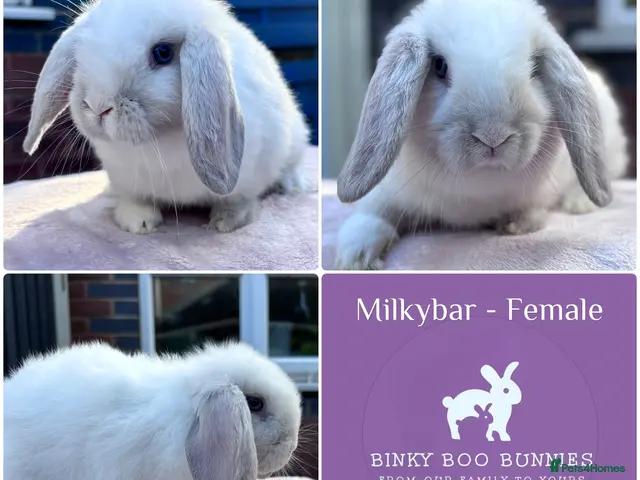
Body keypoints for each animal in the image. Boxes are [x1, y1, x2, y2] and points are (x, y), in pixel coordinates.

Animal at [22, 0, 310, 235]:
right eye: (82, 53)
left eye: (162, 53)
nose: (97, 106)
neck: (157, 143)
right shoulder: (125, 178)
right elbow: (134, 199)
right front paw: (138, 222)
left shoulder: (249, 175)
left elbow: (238, 200)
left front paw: (225, 222)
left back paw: (293, 185)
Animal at [334, 0, 629, 270]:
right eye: (439, 66)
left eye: (534, 67)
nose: (493, 137)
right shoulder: (389, 192)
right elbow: (374, 215)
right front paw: (354, 257)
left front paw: (518, 222)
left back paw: (578, 203)